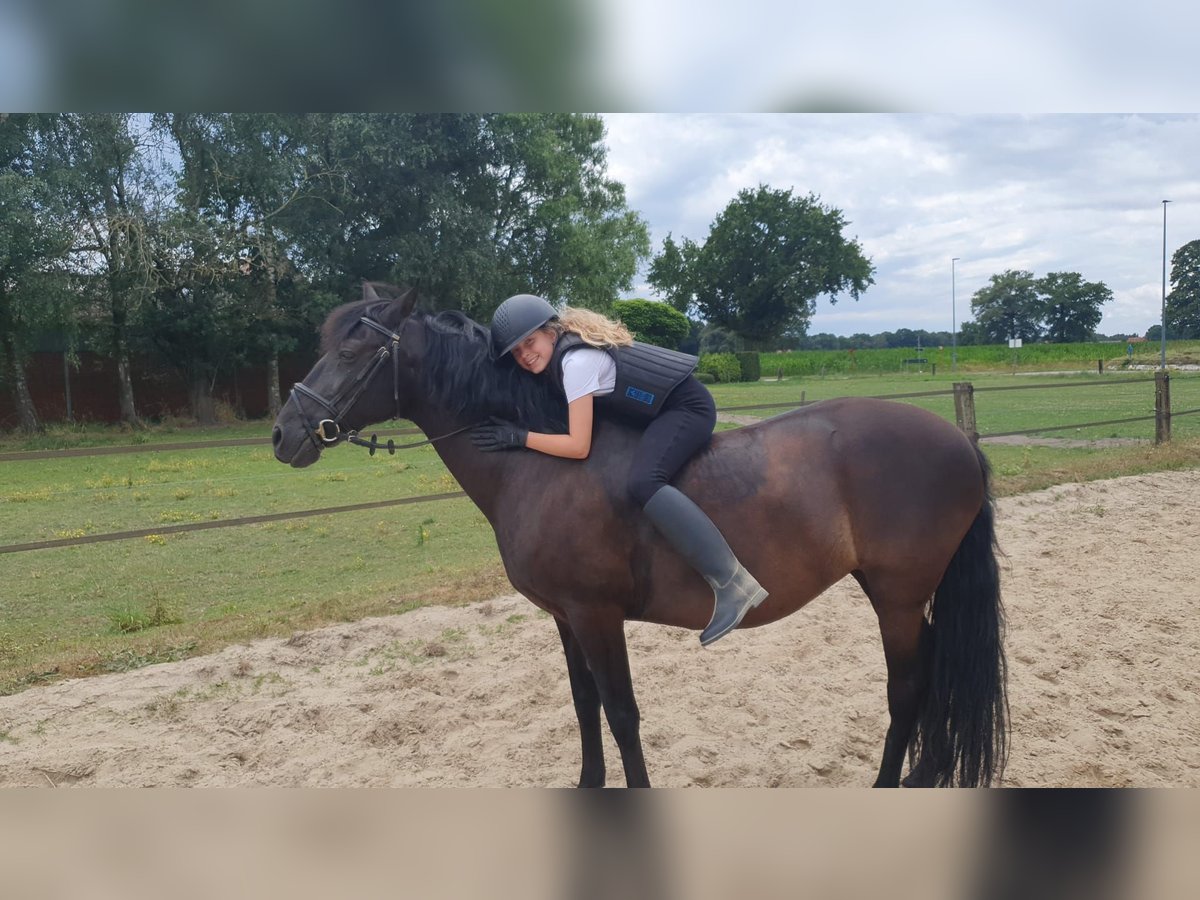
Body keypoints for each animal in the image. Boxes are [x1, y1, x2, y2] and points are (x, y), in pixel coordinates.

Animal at [274, 283, 1012, 787]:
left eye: (351, 349)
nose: (284, 434)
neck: (542, 464)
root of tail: (956, 442)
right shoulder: (566, 616)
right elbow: (584, 707)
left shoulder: (598, 615)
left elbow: (622, 713)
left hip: (896, 596)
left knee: (908, 688)